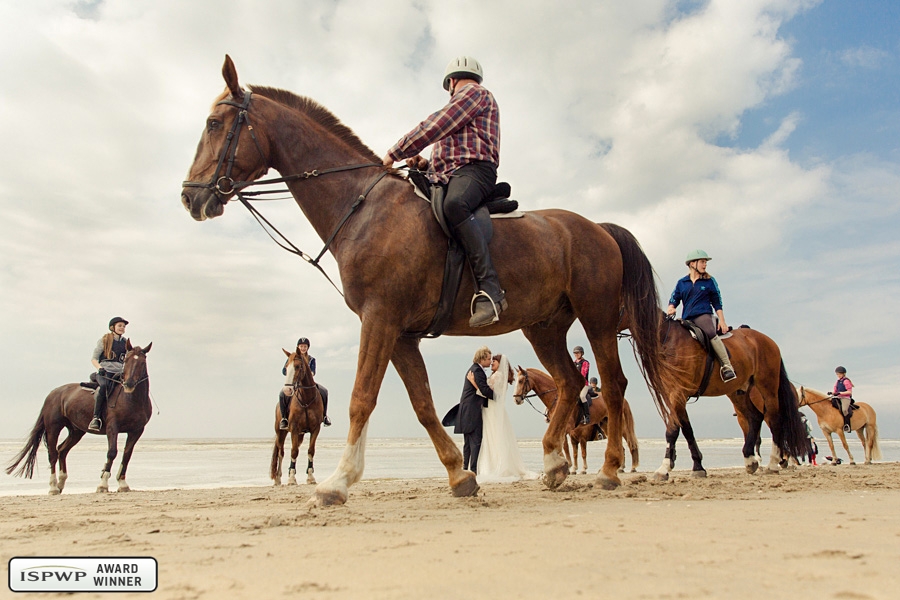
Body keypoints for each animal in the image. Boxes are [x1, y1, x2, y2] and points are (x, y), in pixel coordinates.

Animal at [4, 340, 153, 494]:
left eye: (142, 362)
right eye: (126, 360)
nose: (128, 384)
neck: (130, 399)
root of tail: (53, 393)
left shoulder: (136, 431)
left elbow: (127, 455)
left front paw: (122, 484)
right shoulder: (113, 428)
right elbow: (112, 452)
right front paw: (103, 484)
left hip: (76, 431)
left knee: (62, 450)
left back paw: (61, 483)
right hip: (53, 428)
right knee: (53, 453)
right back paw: (53, 487)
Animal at [270, 350, 324, 486]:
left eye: (298, 366)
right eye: (286, 367)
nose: (287, 390)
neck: (305, 399)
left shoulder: (315, 429)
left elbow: (310, 451)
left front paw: (310, 477)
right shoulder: (294, 428)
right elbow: (293, 451)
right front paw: (291, 478)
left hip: (300, 435)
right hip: (281, 432)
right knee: (281, 452)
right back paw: (278, 478)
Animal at [512, 366, 640, 474]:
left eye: (521, 381)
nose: (516, 400)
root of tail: (623, 400)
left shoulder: (569, 430)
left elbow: (567, 447)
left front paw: (568, 466)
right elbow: (567, 448)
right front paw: (569, 466)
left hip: (620, 427)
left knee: (629, 444)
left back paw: (630, 467)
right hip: (606, 425)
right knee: (621, 447)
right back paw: (618, 468)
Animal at [652, 316, 812, 480]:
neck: (669, 338)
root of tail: (769, 341)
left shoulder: (678, 392)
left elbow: (673, 429)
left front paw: (664, 468)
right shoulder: (675, 394)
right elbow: (687, 429)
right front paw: (697, 467)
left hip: (768, 387)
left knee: (775, 420)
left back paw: (773, 463)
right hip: (740, 394)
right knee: (756, 417)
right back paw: (752, 461)